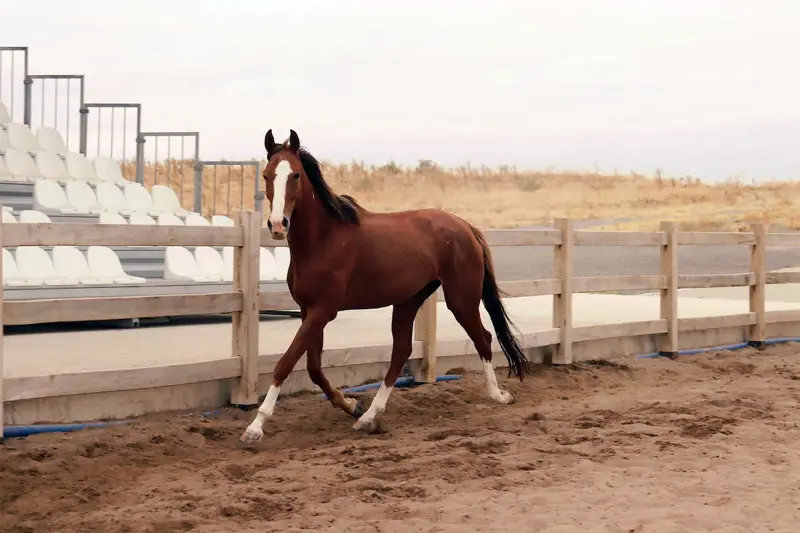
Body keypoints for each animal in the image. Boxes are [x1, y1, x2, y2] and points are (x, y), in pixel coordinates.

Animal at [239, 130, 524, 444]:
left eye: (296, 175)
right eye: (266, 175)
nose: (278, 224)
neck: (323, 240)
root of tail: (464, 225)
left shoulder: (323, 311)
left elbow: (286, 362)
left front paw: (255, 427)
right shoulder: (308, 311)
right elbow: (313, 367)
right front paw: (350, 404)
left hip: (460, 299)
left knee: (483, 338)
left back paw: (498, 395)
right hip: (409, 300)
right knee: (401, 352)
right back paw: (368, 417)